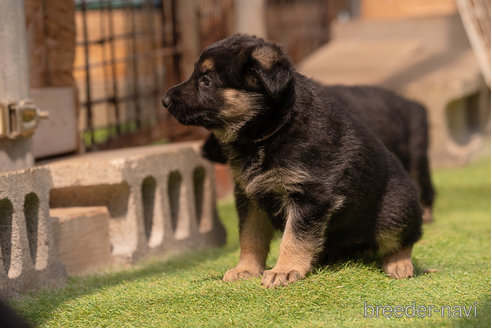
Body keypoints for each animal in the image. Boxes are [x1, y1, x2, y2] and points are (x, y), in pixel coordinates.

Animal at [162, 34, 422, 288]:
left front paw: (284, 270)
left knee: (403, 239)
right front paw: (246, 269)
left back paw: (399, 264)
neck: (272, 130)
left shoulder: (310, 195)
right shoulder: (250, 196)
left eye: (206, 81)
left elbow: (294, 237)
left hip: (395, 211)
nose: (164, 100)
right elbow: (250, 236)